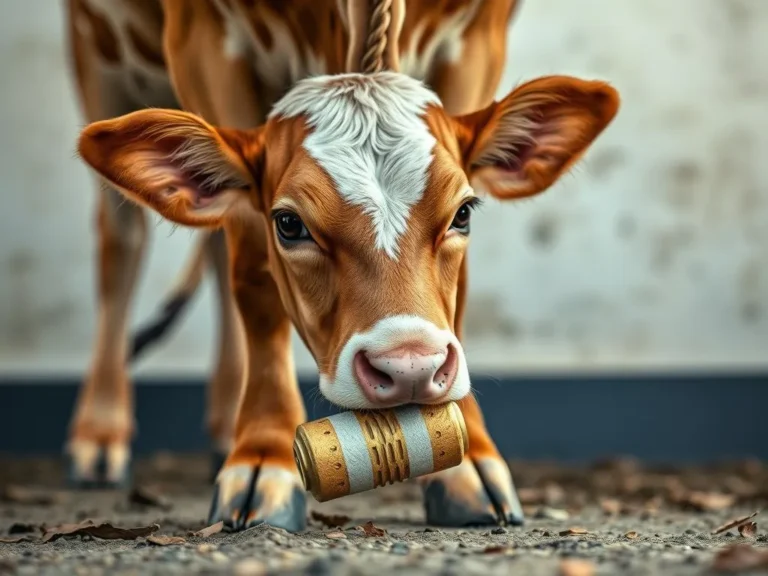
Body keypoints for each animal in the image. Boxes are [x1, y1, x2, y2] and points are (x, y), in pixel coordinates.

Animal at [68, 0, 620, 531]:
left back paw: (225, 424)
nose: (411, 367)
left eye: (463, 212)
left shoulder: (477, 42)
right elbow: (255, 277)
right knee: (123, 243)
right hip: (98, 57)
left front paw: (468, 463)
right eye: (289, 224)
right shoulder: (202, 42)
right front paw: (263, 457)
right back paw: (100, 435)